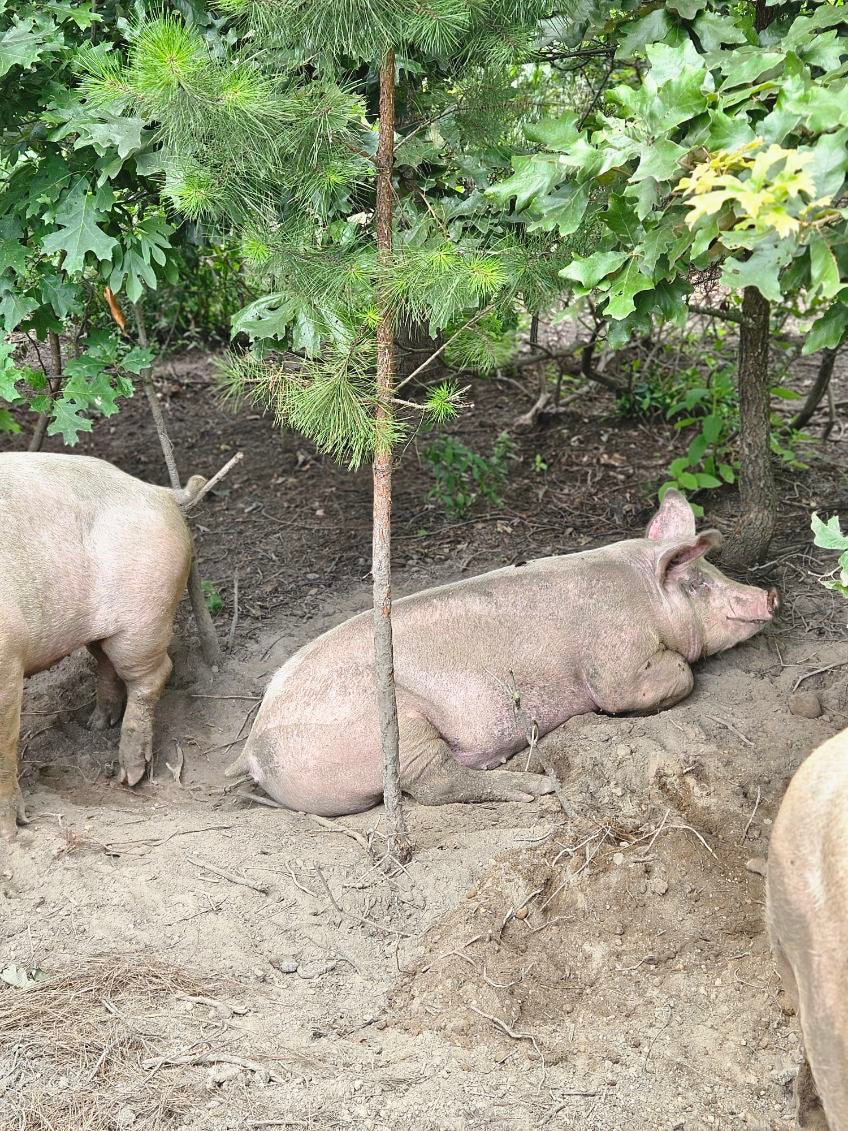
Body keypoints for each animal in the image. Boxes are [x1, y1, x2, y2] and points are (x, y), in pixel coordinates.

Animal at [0, 452, 204, 840]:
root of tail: (161, 492)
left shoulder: (8, 657)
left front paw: (11, 830)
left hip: (143, 618)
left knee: (153, 674)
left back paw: (130, 775)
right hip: (102, 629)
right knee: (106, 664)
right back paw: (95, 725)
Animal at [228, 490, 778, 816]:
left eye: (717, 570)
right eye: (699, 583)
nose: (769, 596)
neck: (643, 594)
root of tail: (252, 748)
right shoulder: (616, 664)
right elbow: (659, 680)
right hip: (395, 724)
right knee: (433, 785)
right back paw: (535, 788)